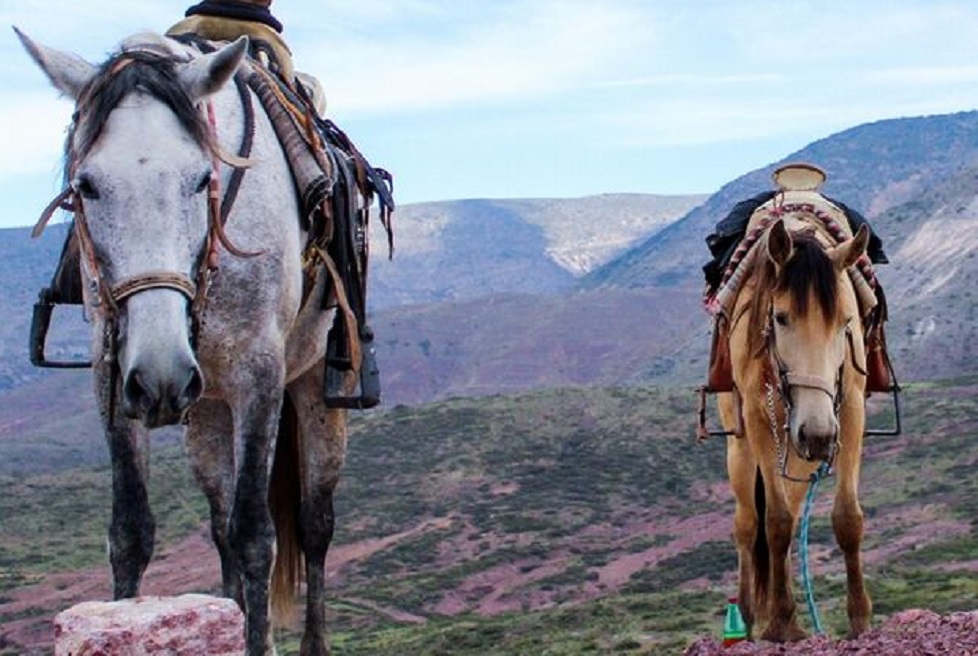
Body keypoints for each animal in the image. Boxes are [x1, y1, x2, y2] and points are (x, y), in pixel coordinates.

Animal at [18, 28, 358, 652]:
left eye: (203, 179)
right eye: (85, 186)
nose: (161, 377)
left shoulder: (259, 374)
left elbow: (255, 536)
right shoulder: (114, 376)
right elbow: (132, 531)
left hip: (314, 388)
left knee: (315, 523)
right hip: (206, 411)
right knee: (219, 523)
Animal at [716, 218, 868, 644]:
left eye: (845, 322)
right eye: (781, 318)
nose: (816, 435)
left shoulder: (851, 409)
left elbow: (847, 517)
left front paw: (860, 619)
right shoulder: (758, 418)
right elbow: (776, 522)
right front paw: (779, 620)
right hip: (741, 449)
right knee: (748, 525)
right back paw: (749, 619)